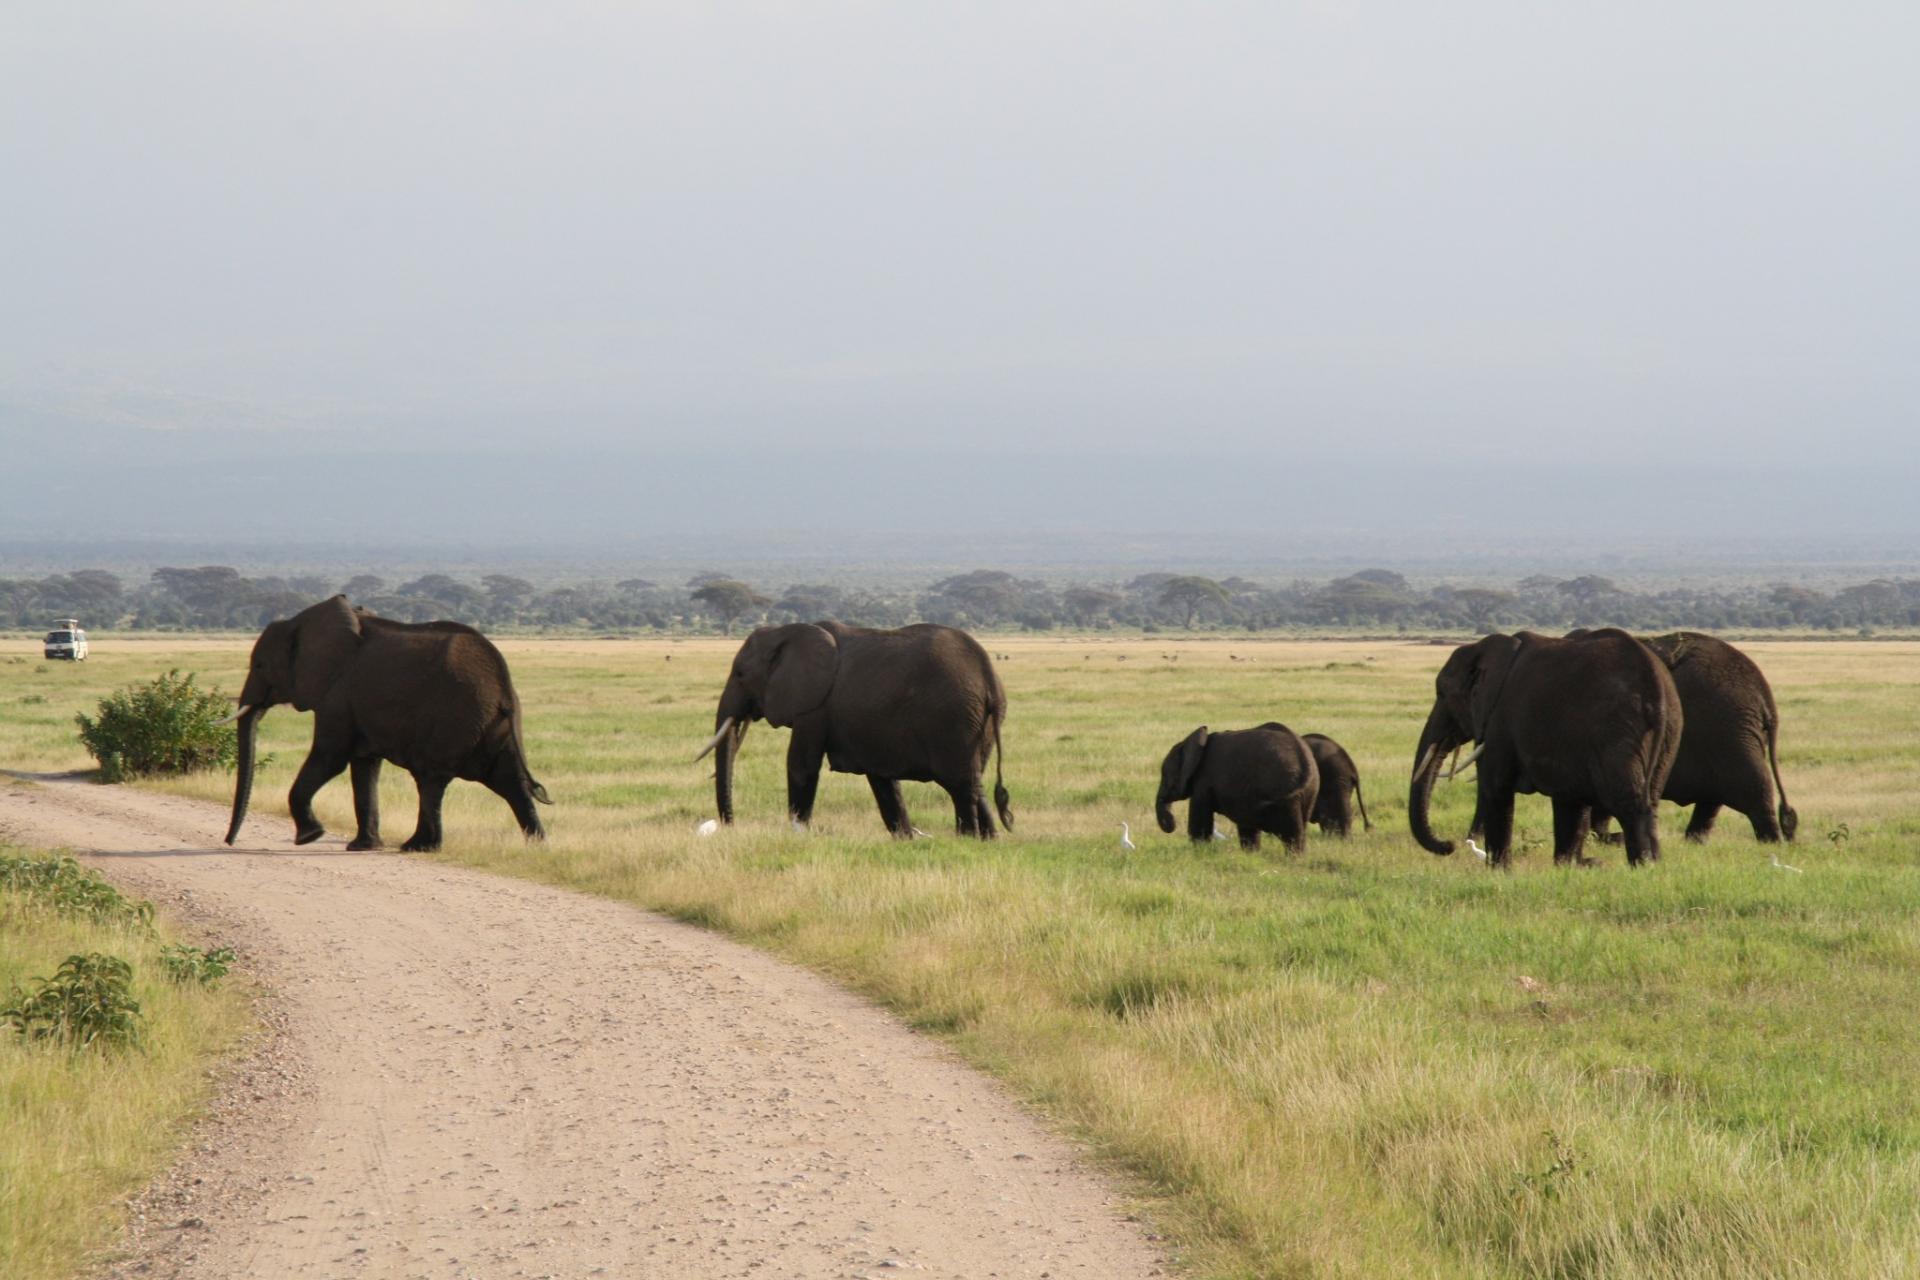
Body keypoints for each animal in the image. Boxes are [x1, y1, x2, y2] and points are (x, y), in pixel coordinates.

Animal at [222, 596, 551, 852]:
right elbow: (365, 766)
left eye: (259, 665)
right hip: (494, 726)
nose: (229, 842)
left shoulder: (337, 696)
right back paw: (538, 847)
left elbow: (330, 758)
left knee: (431, 780)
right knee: (509, 780)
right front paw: (362, 847)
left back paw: (418, 847)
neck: (299, 622)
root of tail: (503, 686)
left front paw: (309, 837)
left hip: (454, 720)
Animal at [696, 621, 1012, 838]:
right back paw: (989, 840)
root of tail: (989, 678)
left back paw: (967, 838)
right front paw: (904, 839)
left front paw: (798, 833)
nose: (728, 825)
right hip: (976, 726)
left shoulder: (815, 705)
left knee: (960, 785)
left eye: (740, 674)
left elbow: (801, 765)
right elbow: (882, 780)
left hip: (954, 722)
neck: (785, 631)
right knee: (973, 783)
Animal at [1155, 722, 1319, 852]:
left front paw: (1199, 852)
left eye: (1165, 776)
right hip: (1308, 793)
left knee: (1292, 834)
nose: (1171, 823)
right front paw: (1251, 854)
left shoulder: (1203, 781)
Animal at [1409, 629, 1682, 868]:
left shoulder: (1498, 721)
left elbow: (1496, 788)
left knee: (1630, 804)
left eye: (1441, 693)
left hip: (1617, 729)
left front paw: (1499, 872)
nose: (1449, 845)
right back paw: (1653, 866)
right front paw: (1567, 868)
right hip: (1669, 734)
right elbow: (1569, 799)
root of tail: (1657, 688)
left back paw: (1643, 866)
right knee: (1650, 800)